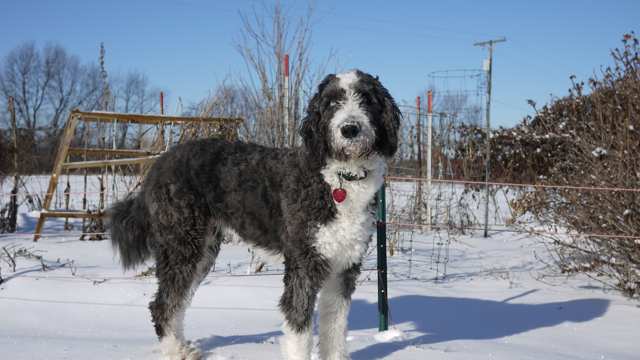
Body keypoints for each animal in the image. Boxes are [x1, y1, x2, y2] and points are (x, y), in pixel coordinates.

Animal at [110, 69, 400, 358]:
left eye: (366, 98)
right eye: (331, 103)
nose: (350, 129)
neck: (338, 180)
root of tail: (160, 163)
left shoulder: (344, 266)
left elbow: (335, 330)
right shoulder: (304, 264)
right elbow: (299, 329)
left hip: (202, 250)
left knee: (176, 302)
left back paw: (182, 346)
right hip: (182, 244)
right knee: (163, 305)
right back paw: (176, 351)